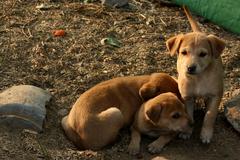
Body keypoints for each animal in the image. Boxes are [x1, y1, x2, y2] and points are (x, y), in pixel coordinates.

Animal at [166, 6, 226, 144]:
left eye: (203, 54)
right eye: (184, 52)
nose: (190, 68)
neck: (198, 79)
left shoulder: (215, 96)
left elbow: (210, 115)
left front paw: (206, 134)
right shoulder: (187, 97)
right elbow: (188, 115)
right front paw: (187, 131)